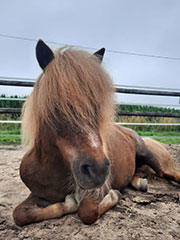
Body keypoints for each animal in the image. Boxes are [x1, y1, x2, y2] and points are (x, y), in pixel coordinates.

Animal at [13, 39, 180, 225]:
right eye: (55, 104)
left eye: (98, 105)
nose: (98, 170)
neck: (52, 168)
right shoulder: (37, 195)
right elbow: (20, 215)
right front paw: (68, 203)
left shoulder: (96, 191)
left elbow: (86, 212)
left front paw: (113, 196)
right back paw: (139, 183)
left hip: (147, 154)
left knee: (167, 173)